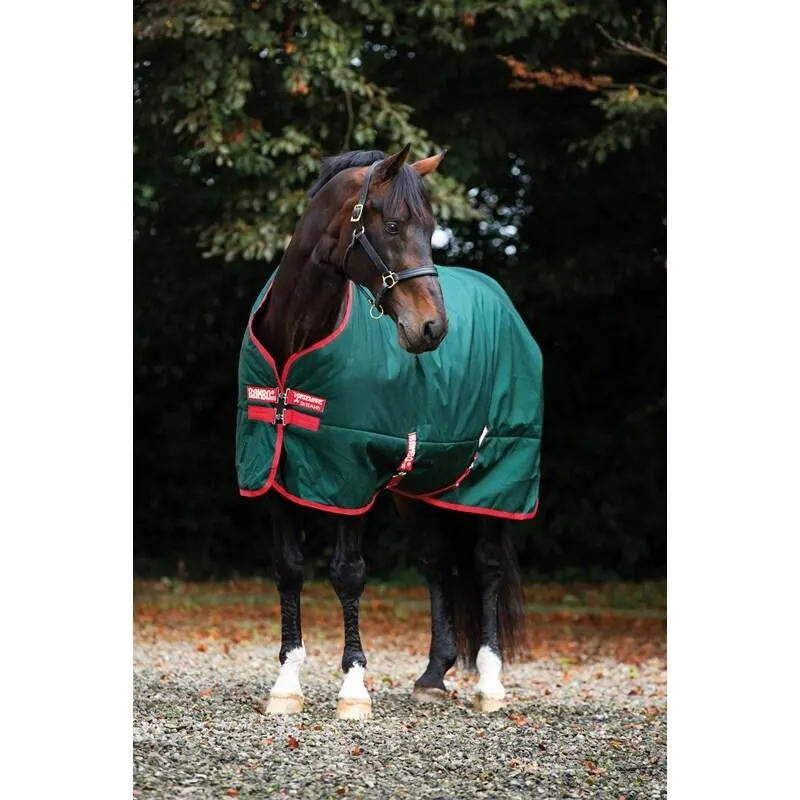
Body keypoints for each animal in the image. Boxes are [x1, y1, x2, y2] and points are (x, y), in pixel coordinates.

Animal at [235, 144, 544, 719]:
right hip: (420, 489)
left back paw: (491, 684)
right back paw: (433, 676)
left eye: (433, 228)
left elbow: (348, 573)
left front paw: (354, 688)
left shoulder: (351, 476)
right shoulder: (274, 471)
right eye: (395, 225)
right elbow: (289, 568)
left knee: (487, 566)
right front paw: (286, 684)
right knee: (437, 565)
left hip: (499, 478)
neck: (295, 345)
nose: (433, 329)